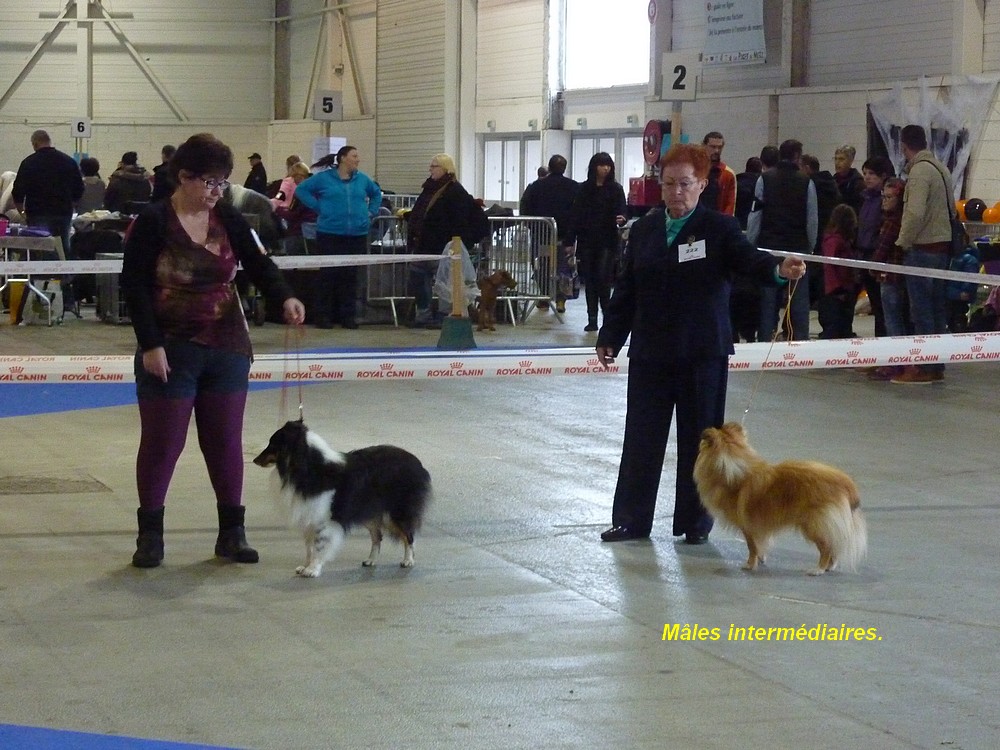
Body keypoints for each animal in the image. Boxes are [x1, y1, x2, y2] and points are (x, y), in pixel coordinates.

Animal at [254, 420, 430, 580]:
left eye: (273, 444)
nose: (255, 460)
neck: (308, 468)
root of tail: (418, 463)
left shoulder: (322, 521)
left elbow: (318, 547)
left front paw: (312, 570)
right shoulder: (309, 516)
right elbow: (309, 547)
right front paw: (305, 566)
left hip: (395, 513)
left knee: (409, 535)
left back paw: (408, 560)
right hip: (368, 513)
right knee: (377, 537)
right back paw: (370, 560)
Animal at [696, 424, 868, 576]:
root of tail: (846, 483)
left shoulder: (748, 526)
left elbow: (752, 547)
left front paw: (750, 565)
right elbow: (759, 546)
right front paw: (761, 559)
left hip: (814, 524)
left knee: (826, 547)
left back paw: (818, 570)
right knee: (833, 545)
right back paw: (829, 567)